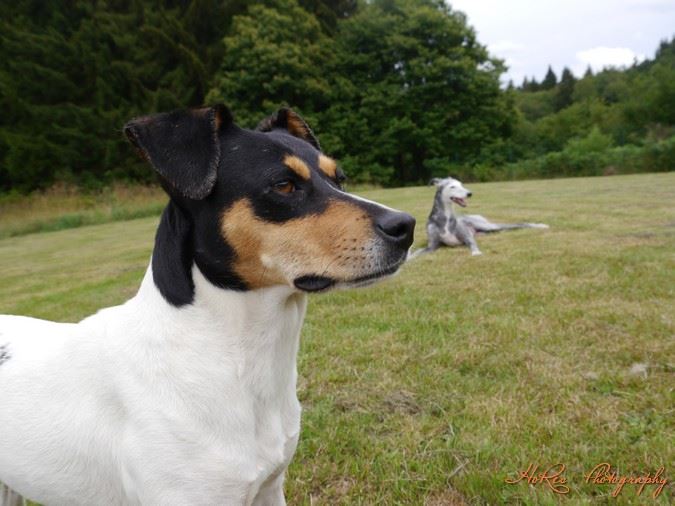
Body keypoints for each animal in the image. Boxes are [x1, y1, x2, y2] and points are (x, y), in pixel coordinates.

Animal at [412, 177, 548, 256]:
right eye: (452, 186)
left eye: (461, 184)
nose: (470, 193)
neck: (445, 218)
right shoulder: (431, 246)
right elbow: (415, 253)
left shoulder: (467, 237)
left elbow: (472, 243)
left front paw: (476, 252)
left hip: (488, 226)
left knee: (519, 224)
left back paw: (541, 225)